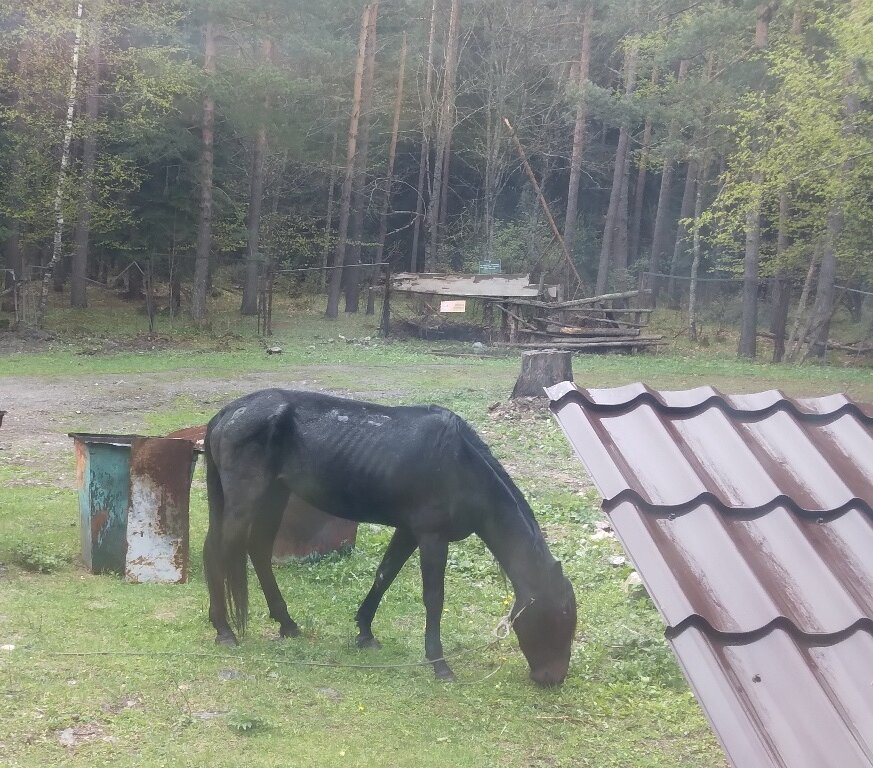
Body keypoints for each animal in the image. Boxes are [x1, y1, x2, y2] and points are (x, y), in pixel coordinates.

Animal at [201, 390, 576, 684]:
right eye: (559, 617)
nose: (553, 679)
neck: (460, 465)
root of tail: (227, 413)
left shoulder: (408, 532)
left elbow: (384, 576)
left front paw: (365, 632)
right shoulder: (432, 537)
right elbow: (433, 598)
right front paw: (439, 664)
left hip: (274, 496)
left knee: (257, 549)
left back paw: (287, 624)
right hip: (246, 500)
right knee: (218, 552)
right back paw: (224, 630)